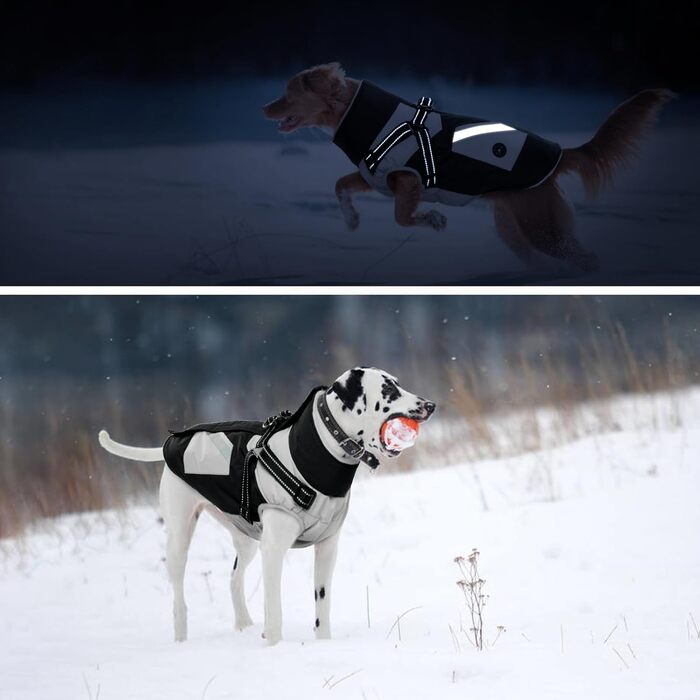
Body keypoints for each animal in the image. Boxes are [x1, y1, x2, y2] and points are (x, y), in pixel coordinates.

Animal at [98, 366, 438, 644]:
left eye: (398, 383)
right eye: (389, 390)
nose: (431, 405)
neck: (318, 455)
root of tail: (170, 444)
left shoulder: (327, 549)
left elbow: (322, 607)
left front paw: (324, 644)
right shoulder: (273, 550)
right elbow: (274, 613)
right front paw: (274, 647)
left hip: (246, 541)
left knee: (234, 581)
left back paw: (243, 625)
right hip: (180, 538)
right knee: (179, 599)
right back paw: (182, 640)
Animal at [262, 63, 672, 270]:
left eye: (288, 93)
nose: (264, 108)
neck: (362, 115)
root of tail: (559, 154)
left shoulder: (408, 179)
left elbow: (402, 217)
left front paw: (434, 220)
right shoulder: (375, 175)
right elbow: (339, 184)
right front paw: (351, 220)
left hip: (543, 228)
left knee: (588, 259)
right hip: (514, 228)